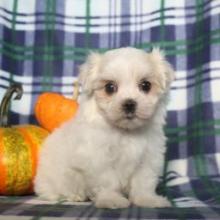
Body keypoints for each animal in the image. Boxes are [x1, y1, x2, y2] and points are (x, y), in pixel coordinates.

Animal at [34, 46, 174, 208]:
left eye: (146, 85)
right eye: (109, 87)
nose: (129, 103)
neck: (126, 132)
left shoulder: (149, 157)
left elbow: (144, 181)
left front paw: (147, 199)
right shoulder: (98, 159)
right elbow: (108, 182)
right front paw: (111, 200)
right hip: (55, 179)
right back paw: (75, 196)